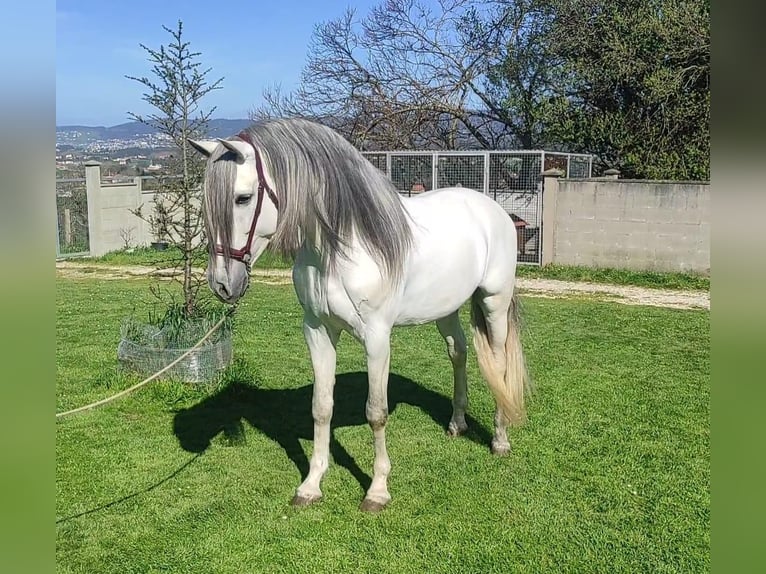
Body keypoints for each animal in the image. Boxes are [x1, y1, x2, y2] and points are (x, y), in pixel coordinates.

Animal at [190, 118, 532, 512]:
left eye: (243, 198)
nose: (222, 283)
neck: (342, 247)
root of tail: (492, 210)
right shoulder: (317, 330)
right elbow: (321, 406)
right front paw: (311, 485)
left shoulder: (377, 338)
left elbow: (376, 412)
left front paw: (377, 490)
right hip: (445, 309)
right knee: (458, 353)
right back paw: (457, 424)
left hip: (494, 302)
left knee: (498, 365)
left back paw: (500, 439)